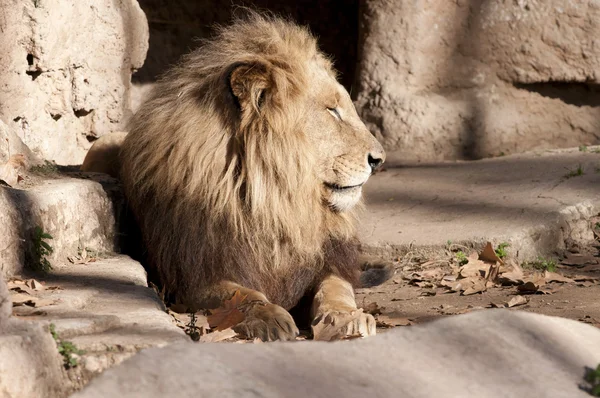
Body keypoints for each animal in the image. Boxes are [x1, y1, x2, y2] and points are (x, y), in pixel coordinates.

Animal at [94, 14, 386, 340]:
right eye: (331, 111)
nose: (379, 160)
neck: (276, 204)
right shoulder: (194, 276)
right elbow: (243, 295)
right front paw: (270, 317)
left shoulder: (325, 262)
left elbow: (336, 289)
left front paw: (348, 318)